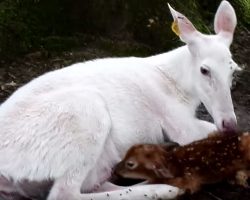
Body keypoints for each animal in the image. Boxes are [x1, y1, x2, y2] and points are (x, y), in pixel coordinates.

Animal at [0, 0, 240, 199]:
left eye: (233, 70)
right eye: (204, 70)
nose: (229, 122)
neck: (179, 86)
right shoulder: (175, 119)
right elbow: (208, 132)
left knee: (92, 183)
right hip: (84, 114)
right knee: (65, 193)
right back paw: (166, 188)